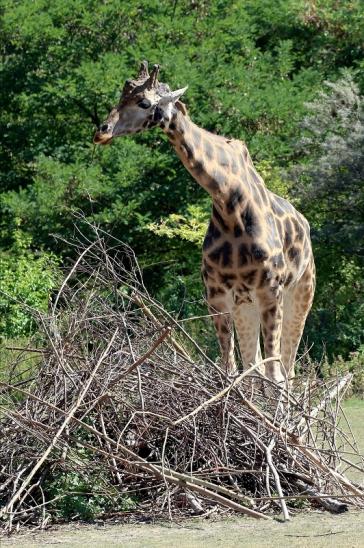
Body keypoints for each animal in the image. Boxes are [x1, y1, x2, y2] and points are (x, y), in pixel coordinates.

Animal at [94, 61, 316, 386]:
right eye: (120, 97)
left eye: (144, 102)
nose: (102, 131)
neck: (229, 202)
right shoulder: (217, 294)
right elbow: (231, 370)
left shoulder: (270, 290)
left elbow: (274, 377)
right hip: (246, 304)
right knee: (255, 367)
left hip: (301, 291)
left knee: (287, 371)